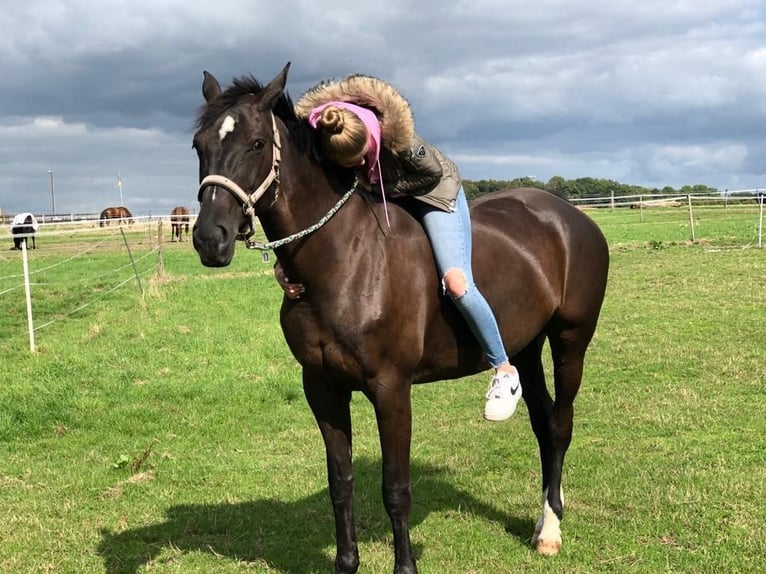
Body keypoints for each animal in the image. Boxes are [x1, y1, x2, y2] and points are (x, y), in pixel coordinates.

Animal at [192, 64, 612, 574]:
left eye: (256, 143)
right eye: (198, 144)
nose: (210, 238)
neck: (344, 259)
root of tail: (571, 216)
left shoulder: (391, 390)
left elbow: (395, 489)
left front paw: (405, 566)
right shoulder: (322, 388)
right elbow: (341, 484)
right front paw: (346, 563)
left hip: (571, 338)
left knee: (560, 423)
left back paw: (550, 529)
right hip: (526, 345)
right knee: (541, 421)